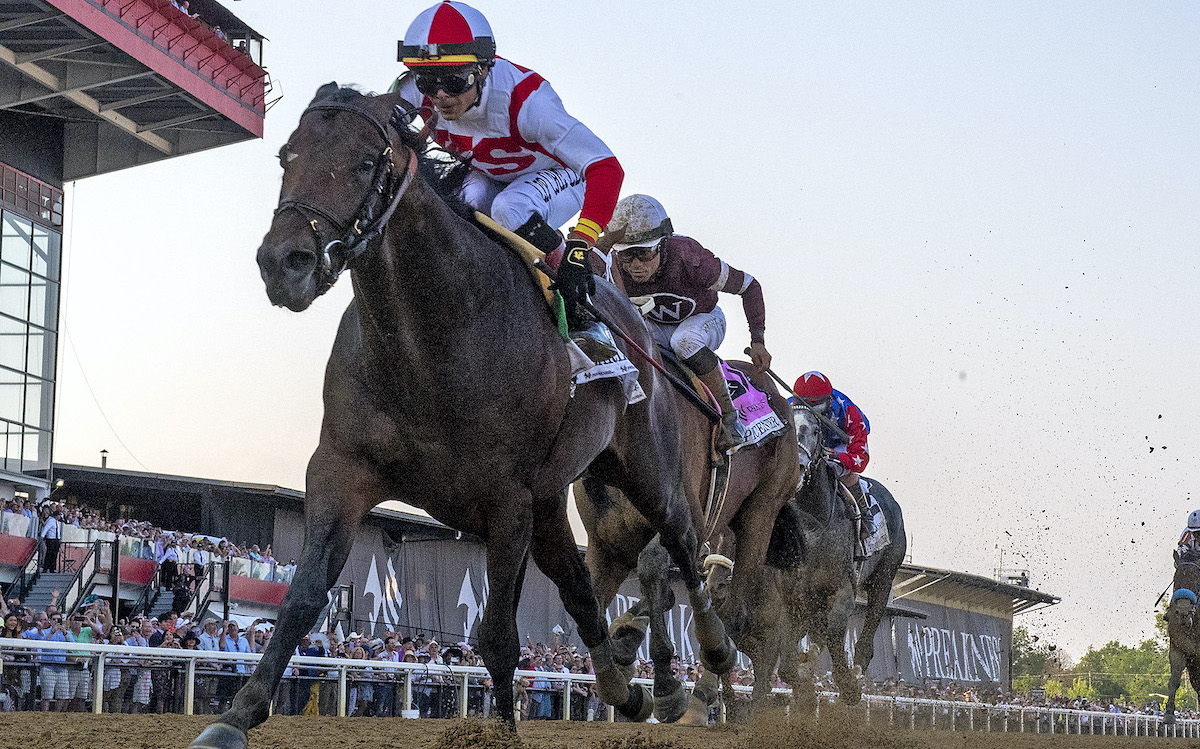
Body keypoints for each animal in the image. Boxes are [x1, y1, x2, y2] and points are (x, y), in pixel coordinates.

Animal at [189, 84, 729, 744]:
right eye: (286, 156)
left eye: (364, 164)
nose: (284, 262)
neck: (431, 337)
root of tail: (648, 341)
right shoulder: (342, 467)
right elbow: (303, 594)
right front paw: (236, 715)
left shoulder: (506, 498)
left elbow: (497, 636)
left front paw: (500, 731)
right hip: (552, 503)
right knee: (580, 589)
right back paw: (624, 690)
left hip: (645, 474)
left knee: (685, 548)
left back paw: (707, 658)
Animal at [578, 360, 801, 724]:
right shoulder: (604, 546)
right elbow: (591, 608)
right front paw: (624, 669)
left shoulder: (685, 519)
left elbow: (653, 569)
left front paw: (666, 688)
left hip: (762, 509)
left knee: (735, 611)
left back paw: (708, 683)